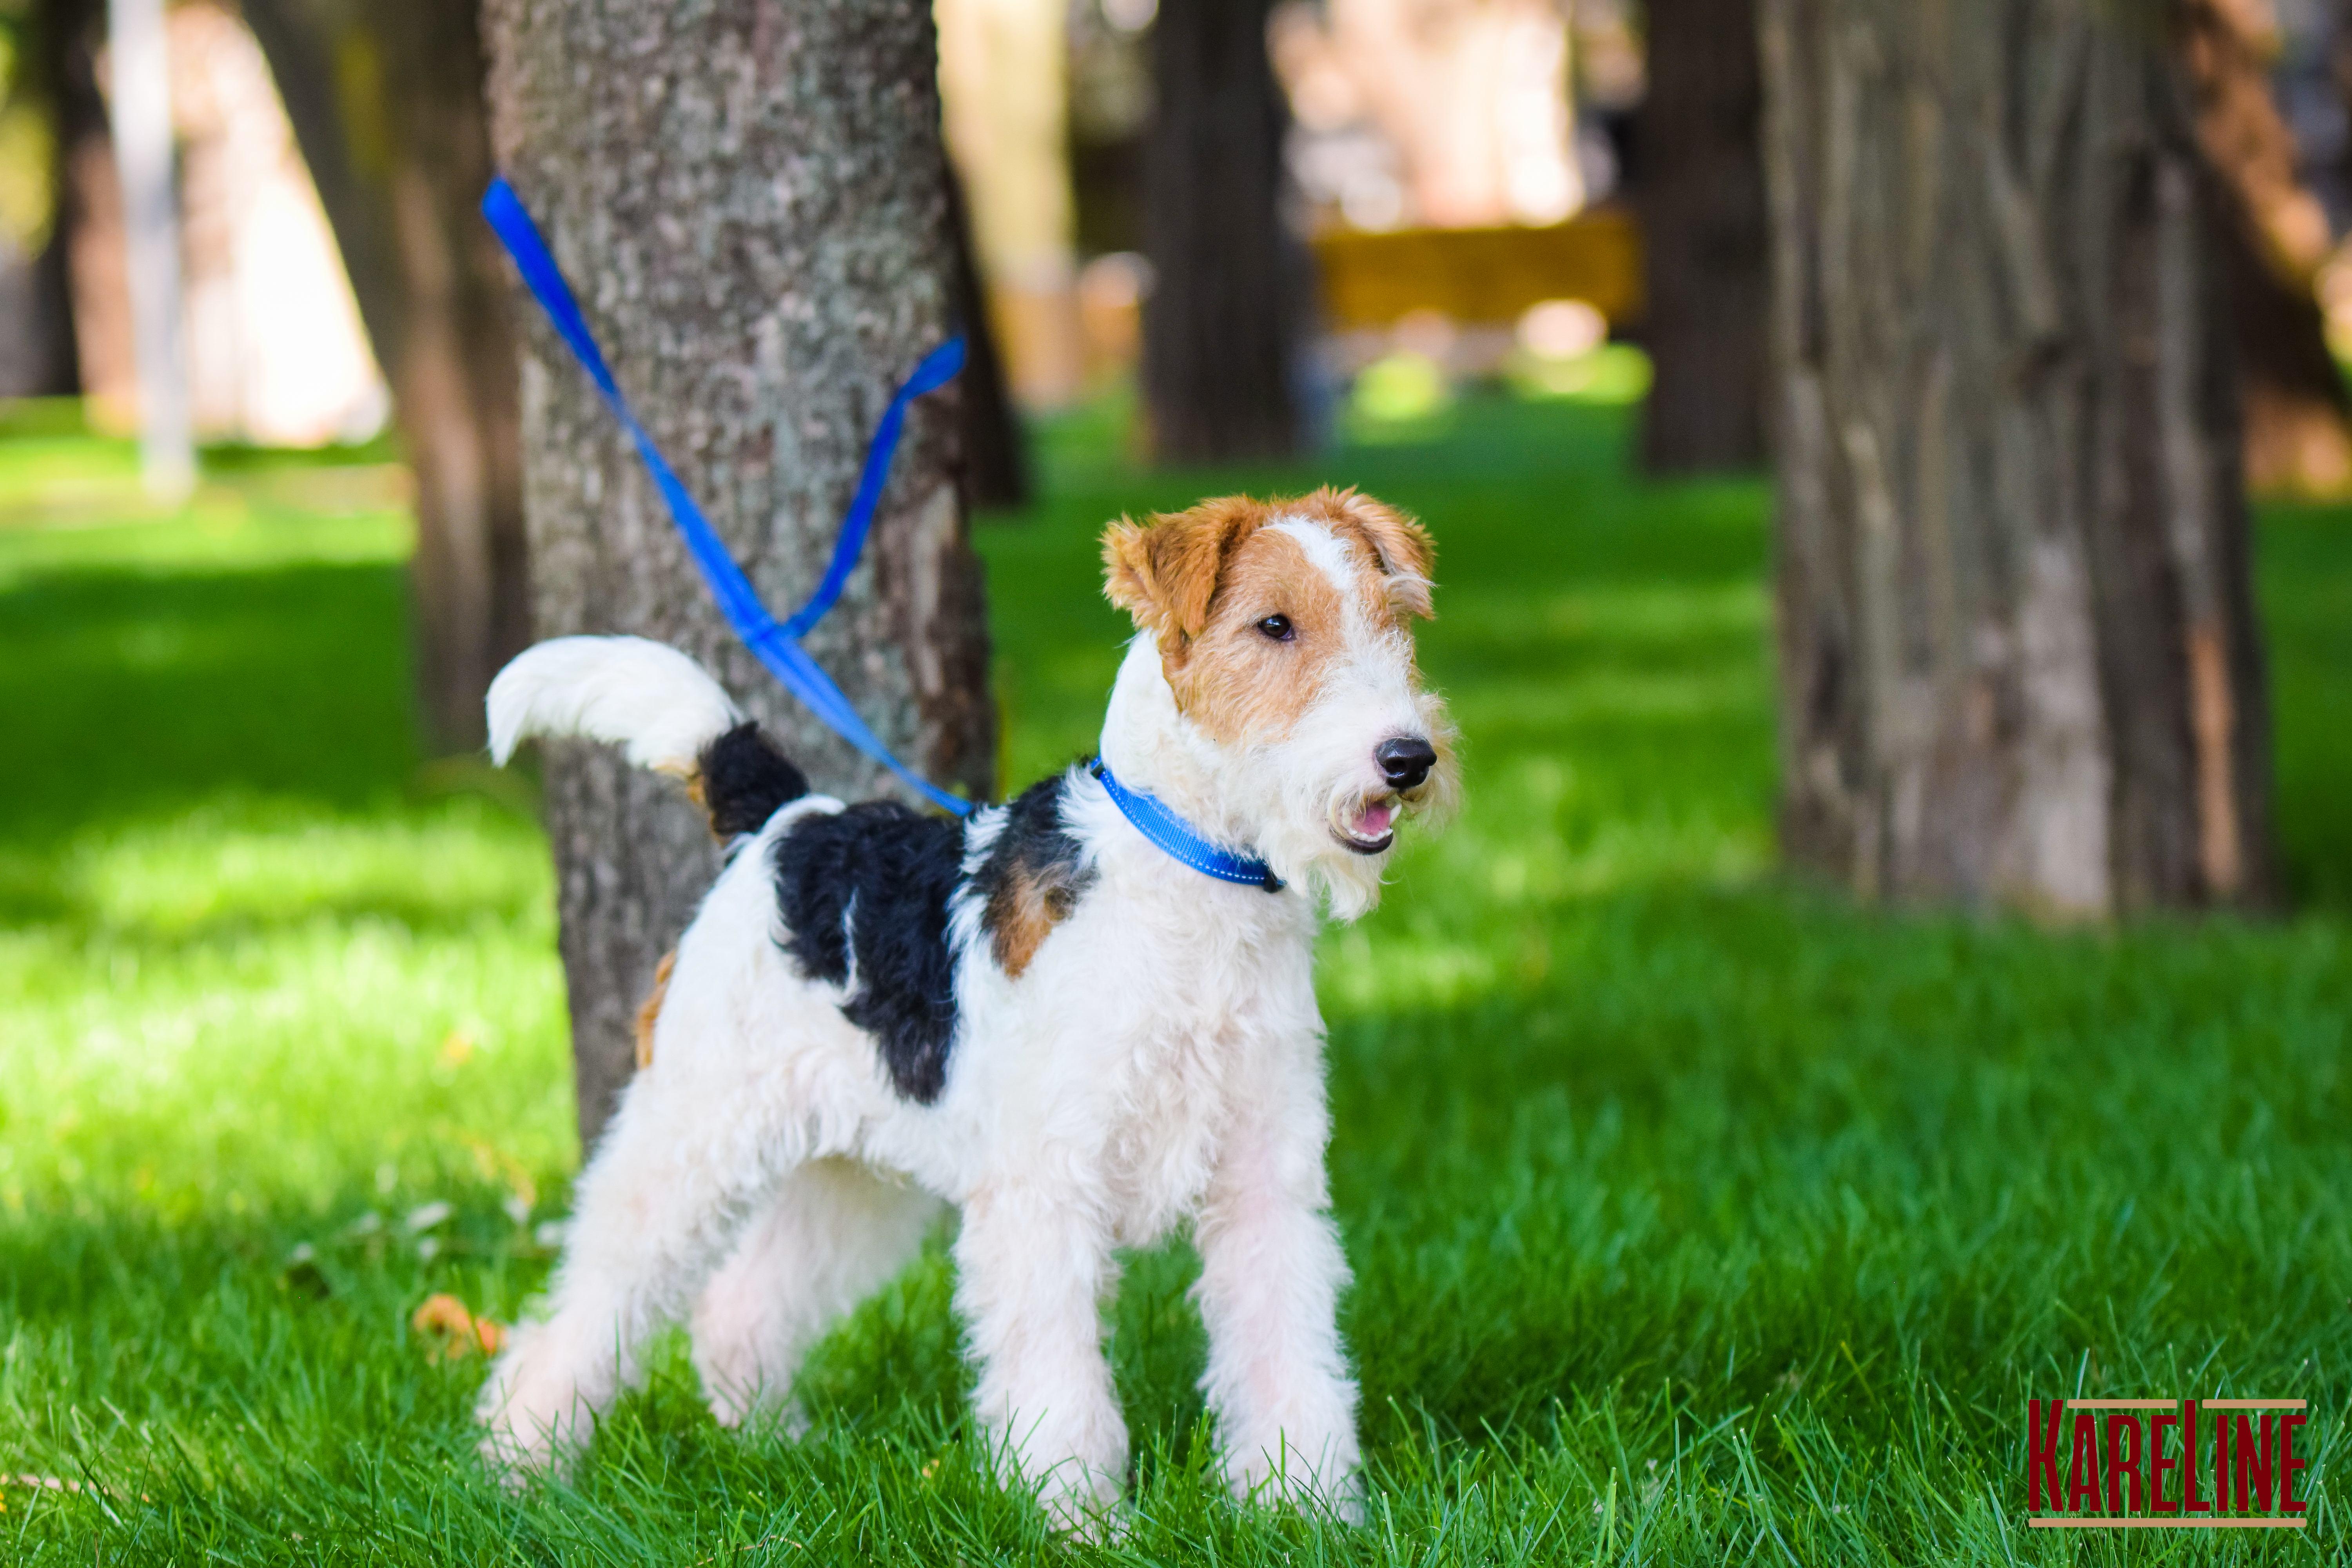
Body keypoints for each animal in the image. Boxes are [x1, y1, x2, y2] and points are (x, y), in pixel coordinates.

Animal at [477, 486, 1458, 1523]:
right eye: (1274, 624)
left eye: (1395, 618)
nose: (1408, 758)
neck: (1189, 875)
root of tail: (787, 824)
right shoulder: (1047, 1191)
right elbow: (1059, 1382)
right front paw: (1077, 1518)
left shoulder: (1266, 1181)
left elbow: (1287, 1353)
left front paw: (1299, 1503)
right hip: (691, 1137)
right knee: (584, 1310)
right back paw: (518, 1462)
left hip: (853, 1176)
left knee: (739, 1304)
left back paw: (772, 1442)